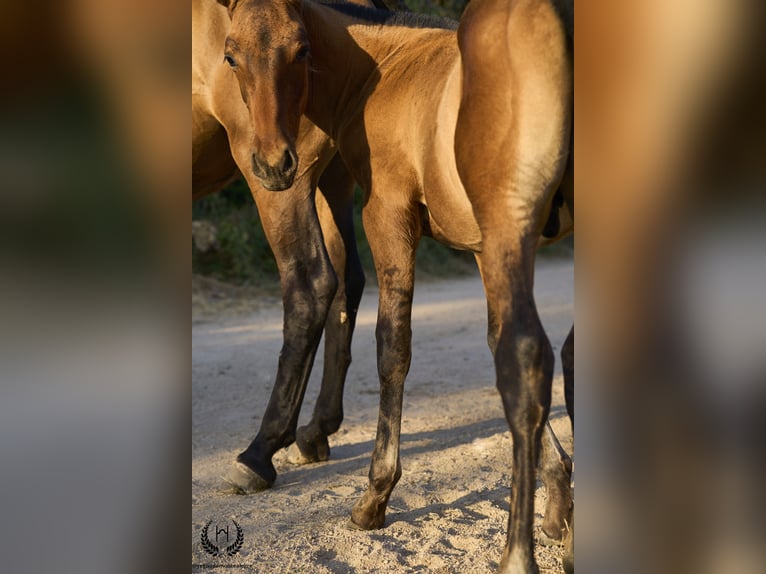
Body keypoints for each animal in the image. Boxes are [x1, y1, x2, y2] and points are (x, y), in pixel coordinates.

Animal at [218, 1, 576, 572]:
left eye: (301, 49)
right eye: (231, 55)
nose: (274, 167)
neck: (385, 65)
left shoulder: (387, 214)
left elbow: (394, 348)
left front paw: (374, 496)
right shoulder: (481, 246)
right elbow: (492, 341)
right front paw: (559, 507)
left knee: (528, 361)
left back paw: (516, 555)